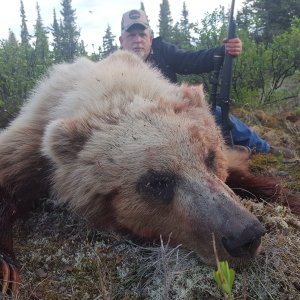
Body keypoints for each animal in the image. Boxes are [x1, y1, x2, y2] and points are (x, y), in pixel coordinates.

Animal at [0, 51, 298, 292]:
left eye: (210, 157)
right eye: (156, 182)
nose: (246, 235)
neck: (114, 86)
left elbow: (244, 176)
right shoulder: (32, 137)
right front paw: (6, 270)